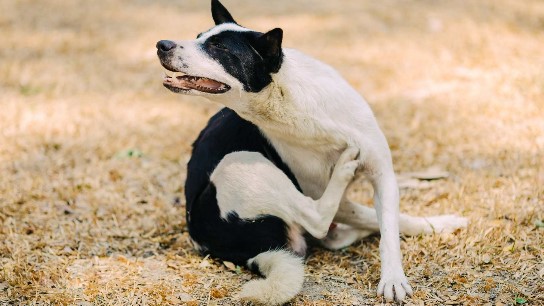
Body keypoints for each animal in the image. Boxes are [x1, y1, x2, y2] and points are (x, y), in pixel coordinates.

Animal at [156, 1, 468, 304]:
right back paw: (345, 170)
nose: (162, 44)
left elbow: (389, 228)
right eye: (199, 37)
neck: (288, 100)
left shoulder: (383, 173)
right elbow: (366, 217)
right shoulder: (322, 191)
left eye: (217, 47)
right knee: (318, 219)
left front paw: (395, 275)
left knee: (339, 230)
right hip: (239, 162)